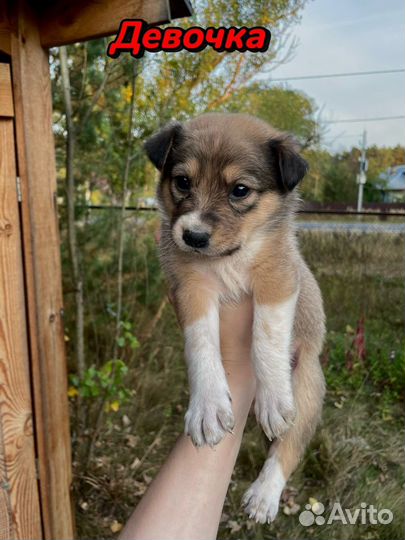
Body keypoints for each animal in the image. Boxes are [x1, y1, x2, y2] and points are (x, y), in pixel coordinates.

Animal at [144, 113, 324, 524]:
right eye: (182, 182)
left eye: (240, 190)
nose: (193, 236)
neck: (228, 258)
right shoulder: (190, 288)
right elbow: (201, 345)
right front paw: (208, 407)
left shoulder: (277, 279)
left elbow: (266, 339)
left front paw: (272, 399)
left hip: (308, 385)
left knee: (287, 448)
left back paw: (264, 495)